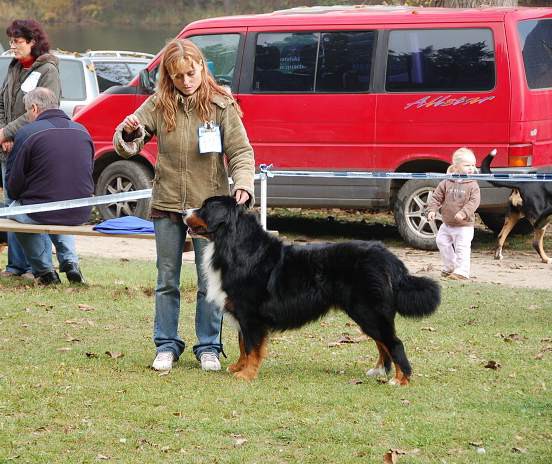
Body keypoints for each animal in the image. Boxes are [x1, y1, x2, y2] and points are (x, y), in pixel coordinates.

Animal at [184, 196, 440, 384]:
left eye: (205, 208)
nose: (184, 211)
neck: (233, 245)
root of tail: (387, 256)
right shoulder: (242, 314)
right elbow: (242, 345)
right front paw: (238, 367)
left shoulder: (250, 315)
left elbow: (252, 347)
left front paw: (246, 374)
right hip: (368, 313)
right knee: (383, 343)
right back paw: (378, 371)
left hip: (368, 311)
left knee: (394, 343)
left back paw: (401, 379)